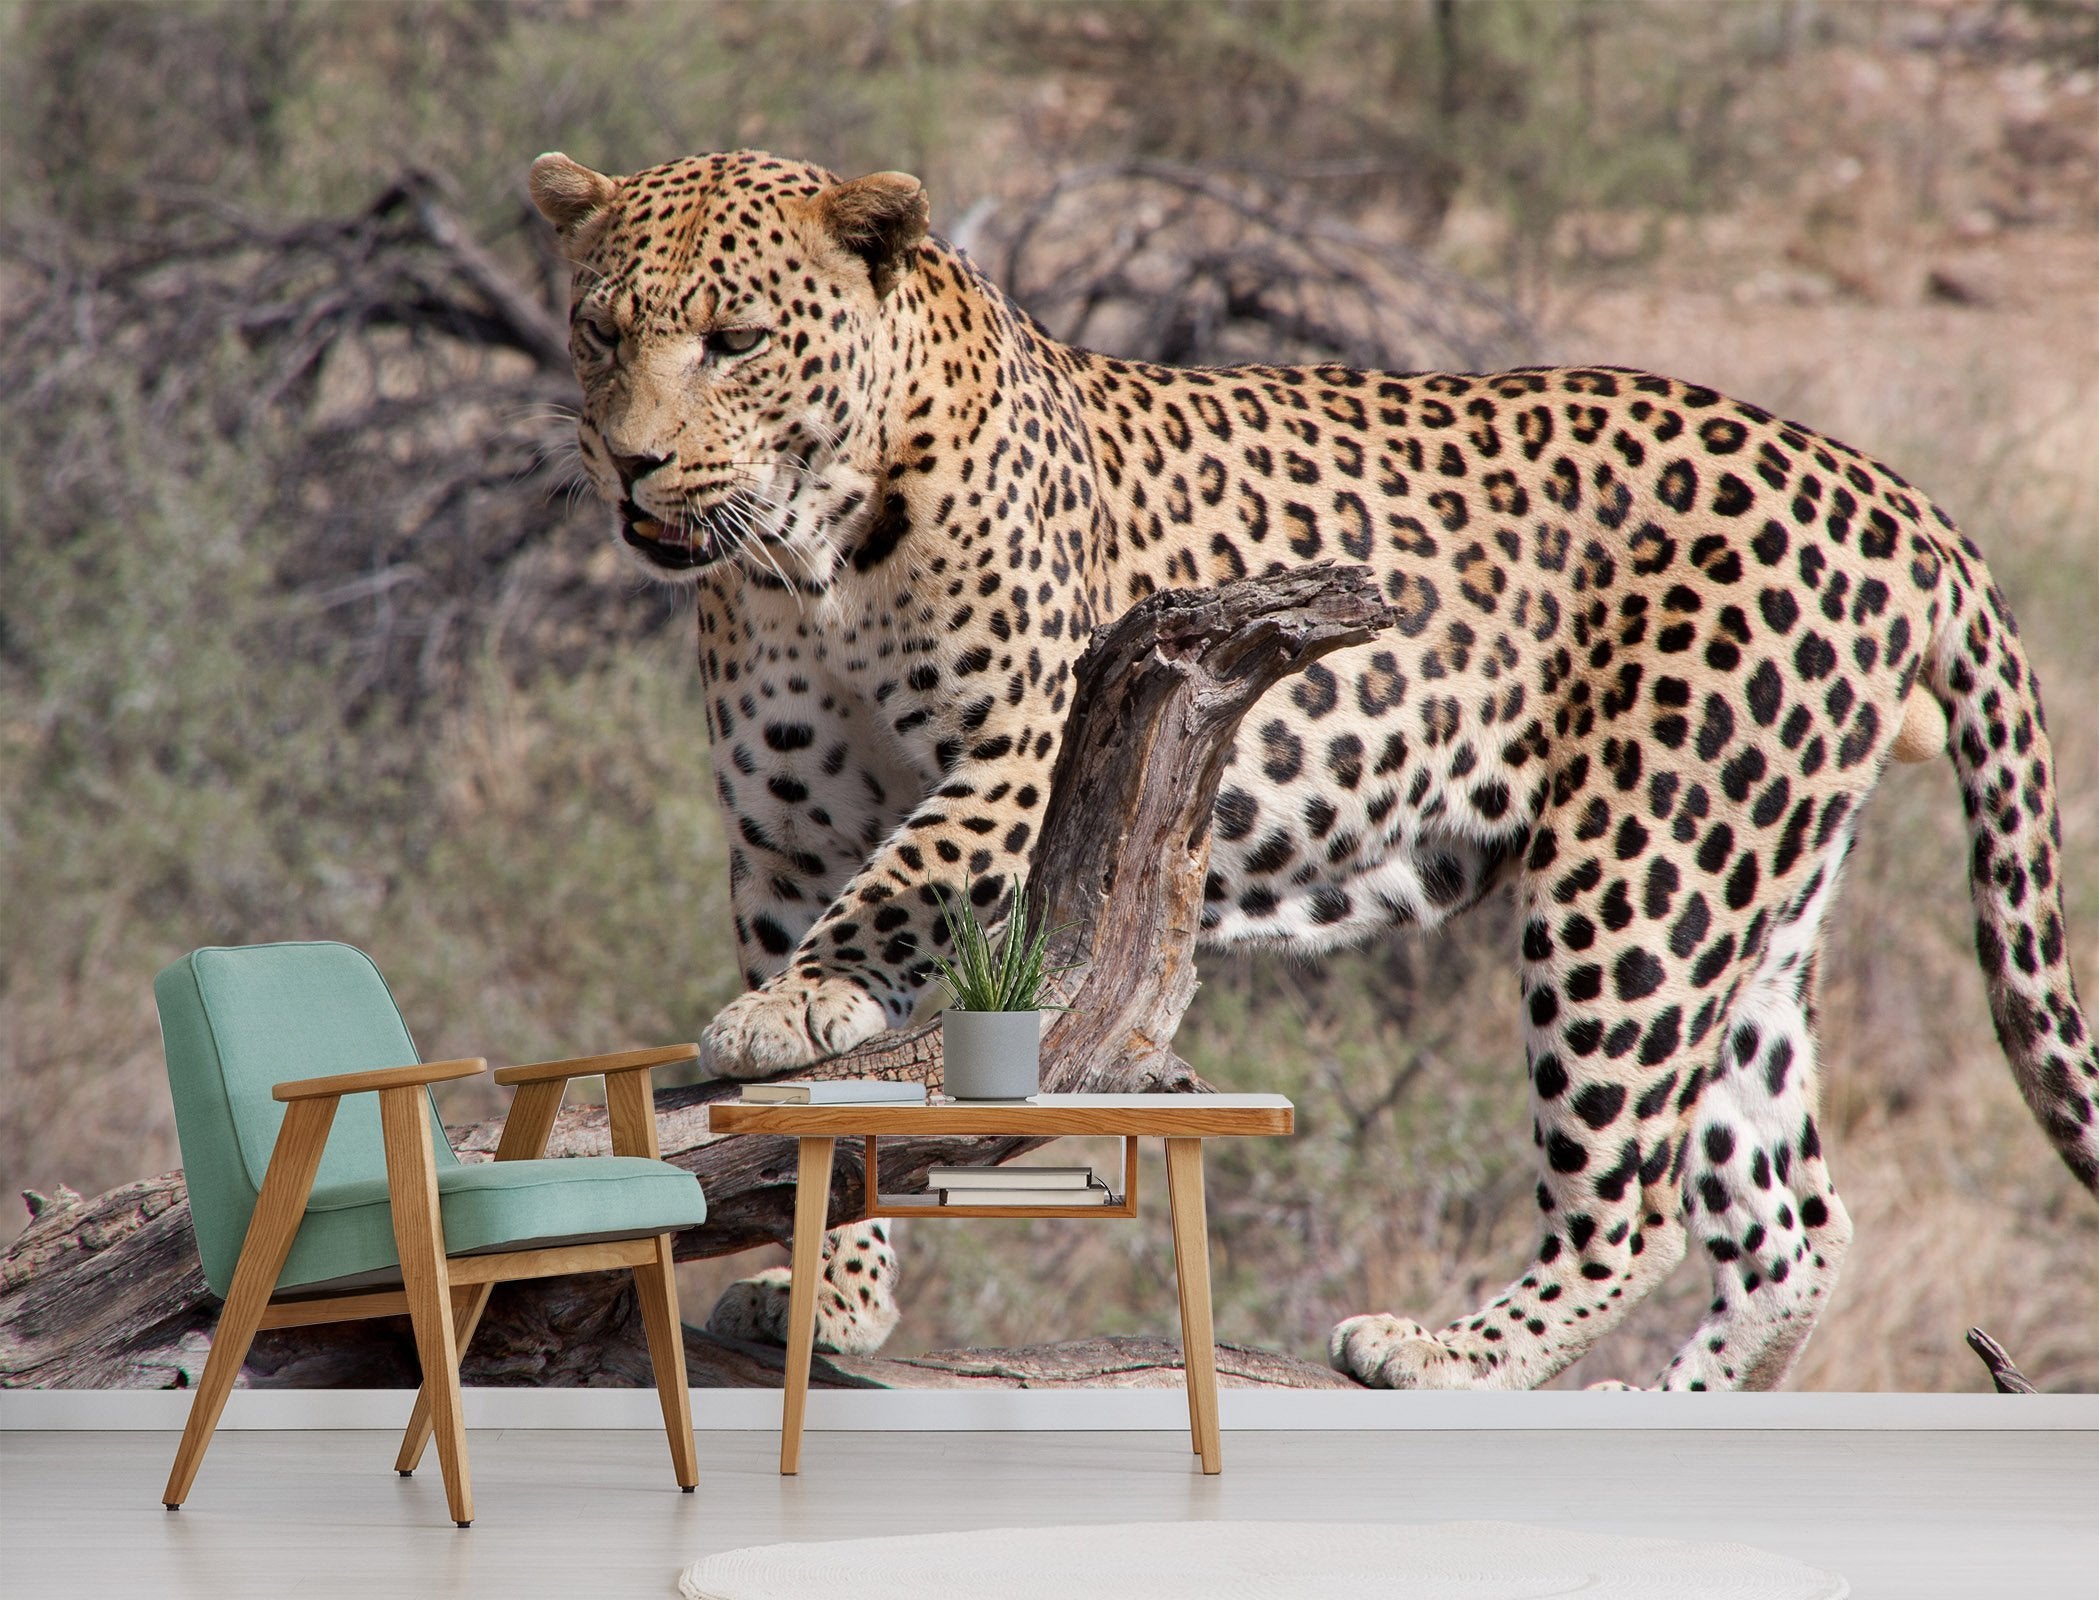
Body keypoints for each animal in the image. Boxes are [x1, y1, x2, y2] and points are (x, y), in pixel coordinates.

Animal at [529, 147, 2098, 1390]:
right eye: (598, 331)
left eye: (735, 340)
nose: (630, 463)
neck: (806, 560)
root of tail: (1888, 489)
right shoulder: (783, 837)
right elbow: (816, 1125)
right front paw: (829, 1293)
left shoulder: (1030, 743)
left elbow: (903, 882)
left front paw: (787, 1008)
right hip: (1752, 904)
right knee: (1790, 1229)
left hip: (1641, 879)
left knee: (1639, 1203)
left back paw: (1446, 1352)